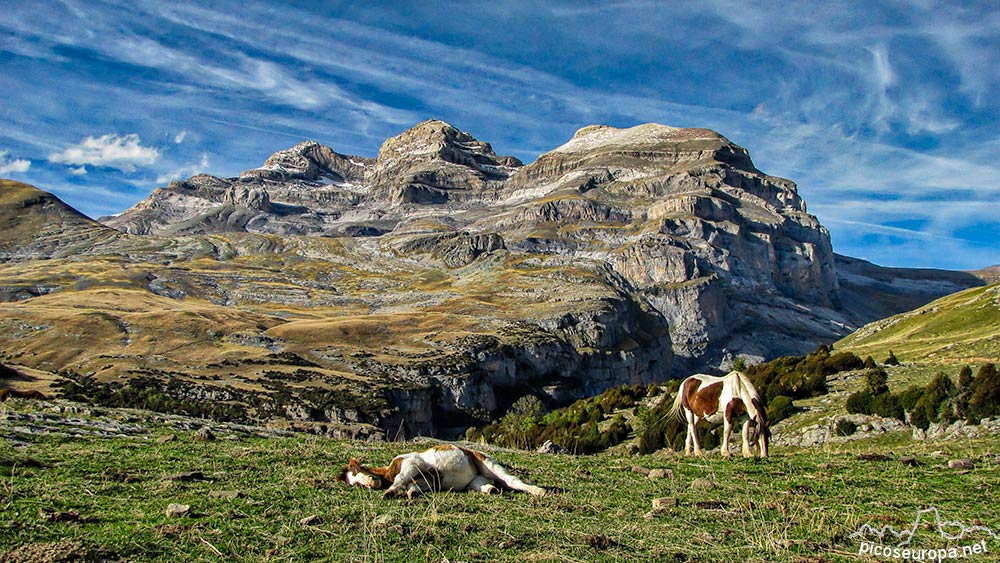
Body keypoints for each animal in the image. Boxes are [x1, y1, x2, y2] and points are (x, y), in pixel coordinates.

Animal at [342, 442, 552, 500]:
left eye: (358, 473)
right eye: (353, 483)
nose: (370, 484)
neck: (390, 469)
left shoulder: (412, 463)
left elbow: (401, 480)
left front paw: (389, 492)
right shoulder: (429, 480)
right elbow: (413, 487)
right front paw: (411, 493)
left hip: (491, 465)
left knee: (513, 481)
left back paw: (539, 491)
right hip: (475, 481)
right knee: (486, 486)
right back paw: (491, 490)